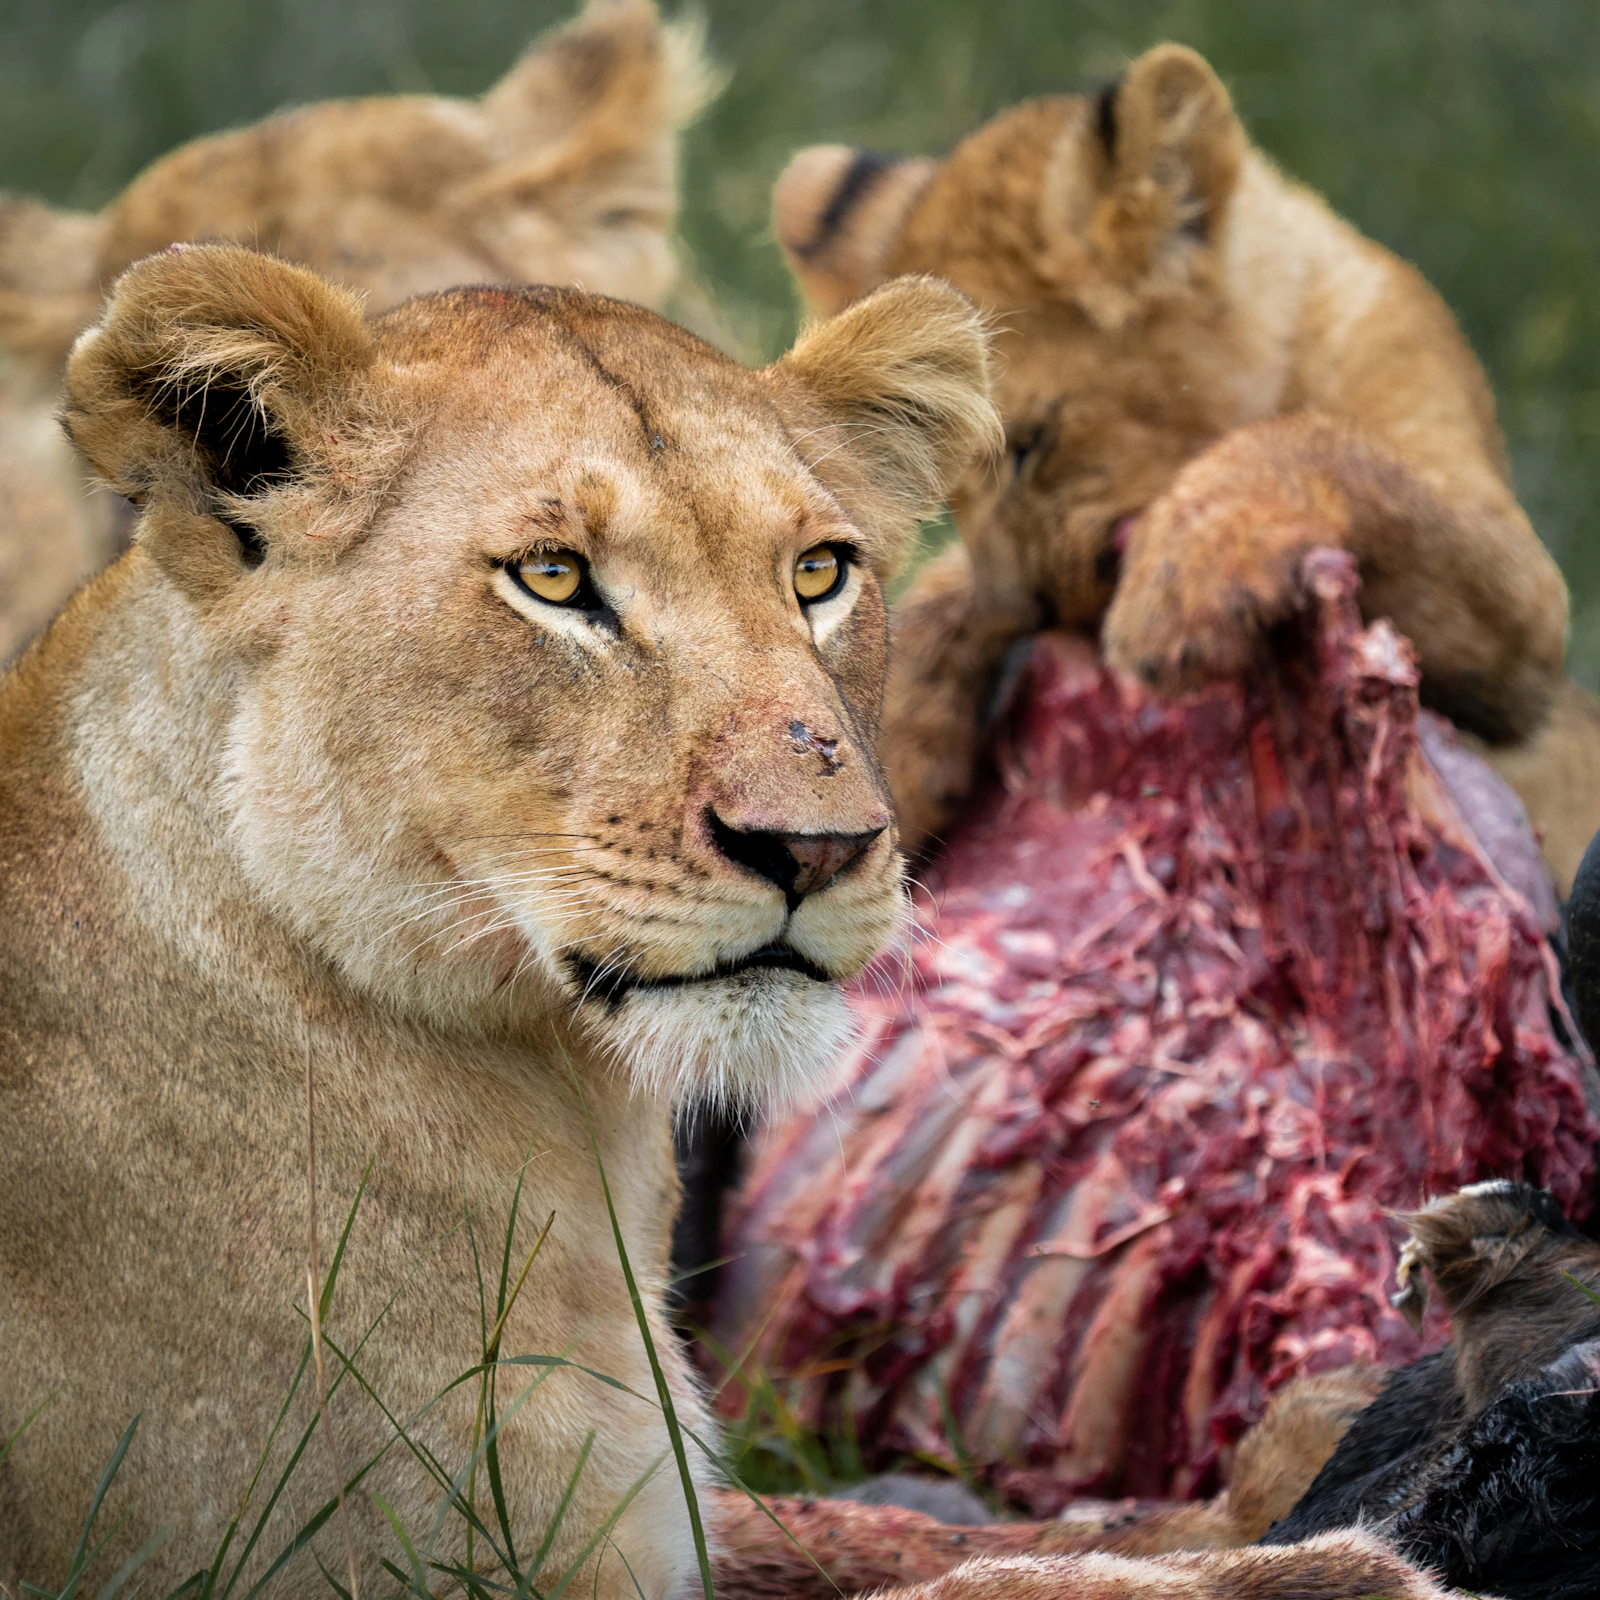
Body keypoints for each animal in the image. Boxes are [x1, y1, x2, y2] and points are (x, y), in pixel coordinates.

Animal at [772, 43, 1600, 892]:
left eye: (1032, 443)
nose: (1024, 611)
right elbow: (934, 587)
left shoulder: (1524, 629)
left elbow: (1330, 449)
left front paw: (1189, 577)